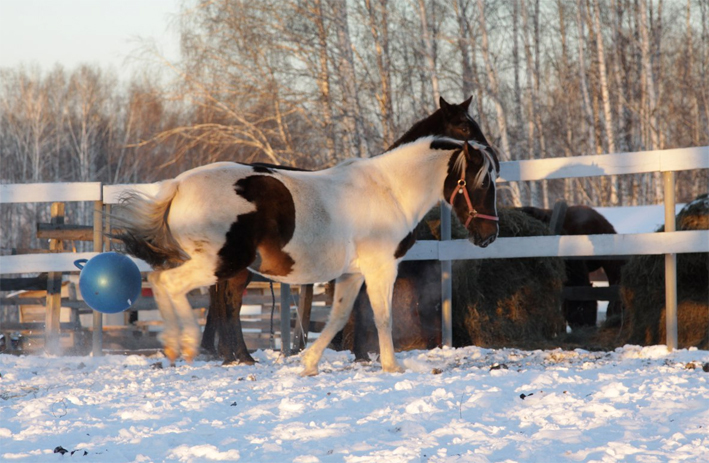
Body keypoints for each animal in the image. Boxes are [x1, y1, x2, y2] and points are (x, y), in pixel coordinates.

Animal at [116, 96, 498, 376]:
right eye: (482, 182)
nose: (489, 234)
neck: (388, 189)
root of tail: (178, 185)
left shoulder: (352, 273)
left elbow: (339, 316)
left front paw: (310, 362)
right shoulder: (380, 268)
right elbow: (381, 316)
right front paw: (391, 366)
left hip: (221, 265)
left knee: (166, 282)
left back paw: (187, 349)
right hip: (220, 262)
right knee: (172, 284)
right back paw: (187, 345)